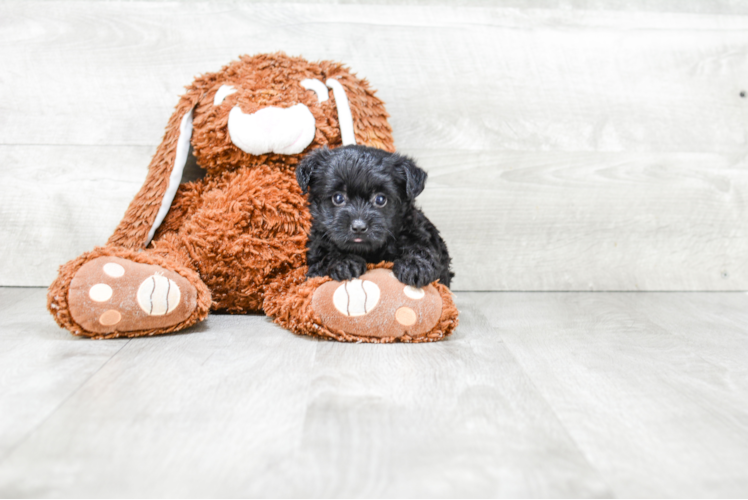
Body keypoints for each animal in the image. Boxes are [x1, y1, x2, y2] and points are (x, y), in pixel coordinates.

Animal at [296, 144, 452, 290]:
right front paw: (344, 262)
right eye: (338, 198)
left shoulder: (415, 231)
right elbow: (325, 258)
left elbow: (422, 248)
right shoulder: (316, 259)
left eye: (380, 199)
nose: (359, 227)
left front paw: (415, 265)